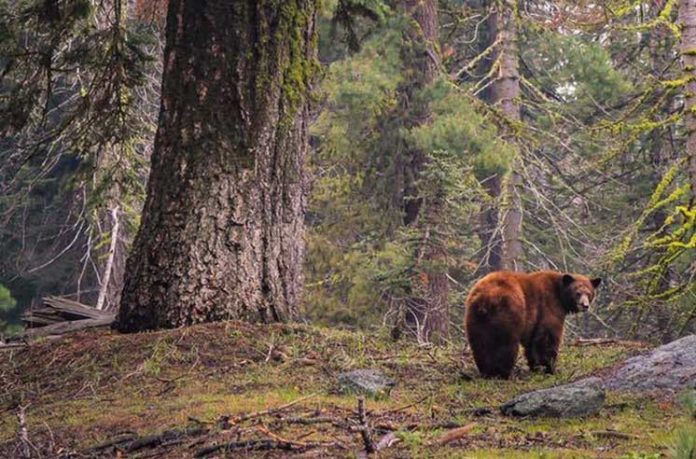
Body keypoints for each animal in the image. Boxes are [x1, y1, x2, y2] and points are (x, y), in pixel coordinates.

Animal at [464, 272, 600, 380]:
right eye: (578, 293)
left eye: (589, 293)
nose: (585, 305)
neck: (559, 294)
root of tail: (485, 299)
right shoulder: (549, 305)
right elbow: (547, 337)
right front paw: (550, 368)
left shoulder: (532, 322)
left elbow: (532, 343)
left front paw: (536, 367)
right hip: (509, 312)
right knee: (506, 345)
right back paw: (504, 373)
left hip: (475, 319)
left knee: (480, 345)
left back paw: (487, 372)